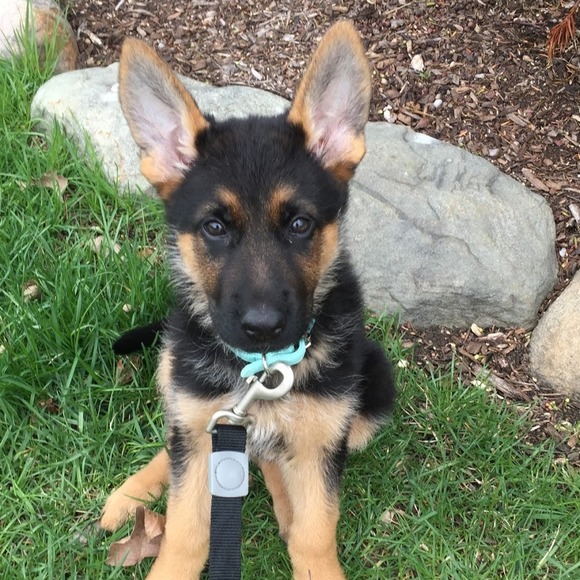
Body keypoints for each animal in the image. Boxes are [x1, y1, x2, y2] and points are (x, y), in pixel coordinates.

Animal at [100, 21, 395, 579]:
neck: (262, 372)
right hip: (176, 367)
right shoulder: (203, 425)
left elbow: (316, 533)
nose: (262, 327)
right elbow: (186, 532)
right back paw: (132, 493)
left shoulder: (324, 442)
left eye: (299, 224)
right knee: (179, 438)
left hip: (371, 394)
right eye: (214, 228)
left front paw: (307, 546)